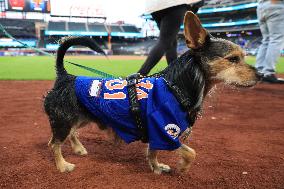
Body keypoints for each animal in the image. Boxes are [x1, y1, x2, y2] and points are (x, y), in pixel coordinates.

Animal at [43, 12, 260, 174]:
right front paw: (182, 167)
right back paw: (62, 165)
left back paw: (78, 148)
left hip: (81, 117)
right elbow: (190, 153)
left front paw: (156, 167)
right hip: (64, 120)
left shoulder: (158, 132)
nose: (261, 75)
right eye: (233, 59)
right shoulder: (165, 131)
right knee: (54, 143)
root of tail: (65, 76)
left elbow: (153, 152)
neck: (175, 87)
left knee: (69, 134)